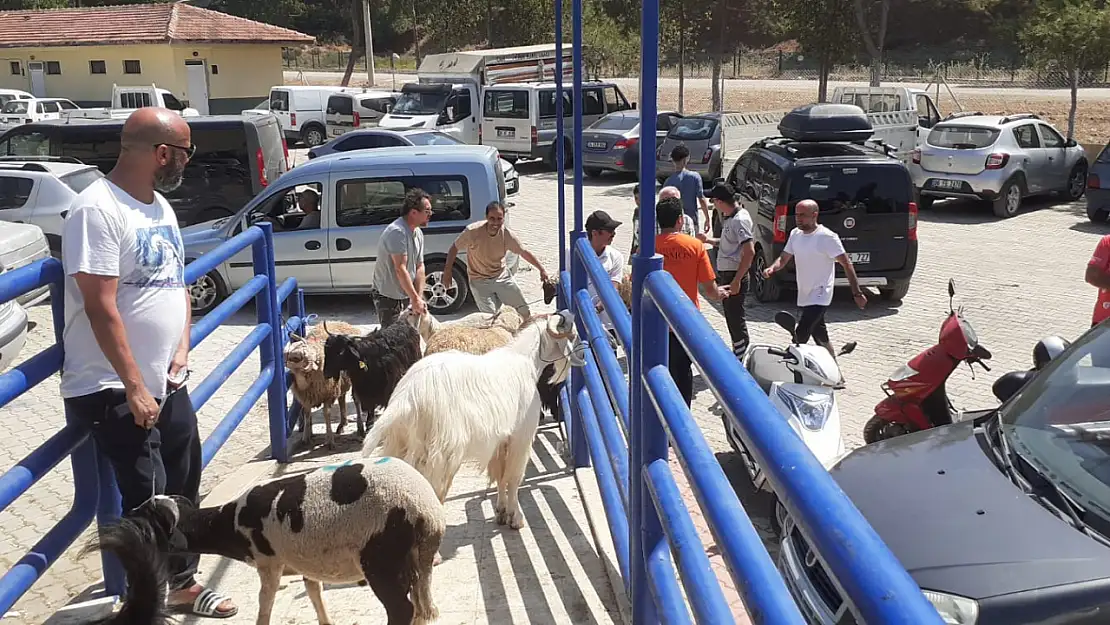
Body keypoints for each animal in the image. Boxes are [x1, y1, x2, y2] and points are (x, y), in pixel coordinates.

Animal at [84, 457, 444, 625]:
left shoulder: (269, 561)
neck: (229, 524)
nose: (125, 520)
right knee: (423, 608)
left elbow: (265, 603)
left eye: (147, 518)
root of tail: (425, 510)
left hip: (381, 560)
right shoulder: (305, 561)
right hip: (416, 560)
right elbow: (314, 595)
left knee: (402, 609)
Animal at [364, 310, 590, 530]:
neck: (526, 361)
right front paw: (515, 517)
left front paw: (501, 512)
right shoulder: (521, 437)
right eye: (573, 332)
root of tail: (407, 398)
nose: (583, 354)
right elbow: (513, 478)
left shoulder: (500, 440)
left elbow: (499, 476)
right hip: (439, 455)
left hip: (400, 446)